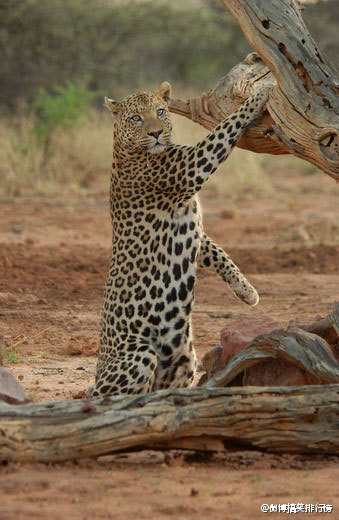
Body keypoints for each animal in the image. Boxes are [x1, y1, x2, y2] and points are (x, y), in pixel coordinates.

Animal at [90, 81, 270, 398]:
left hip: (186, 359)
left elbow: (218, 252)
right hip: (140, 355)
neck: (125, 149)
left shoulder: (194, 227)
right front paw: (260, 93)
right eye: (136, 118)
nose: (155, 133)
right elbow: (226, 126)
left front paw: (246, 292)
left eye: (161, 112)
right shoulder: (192, 165)